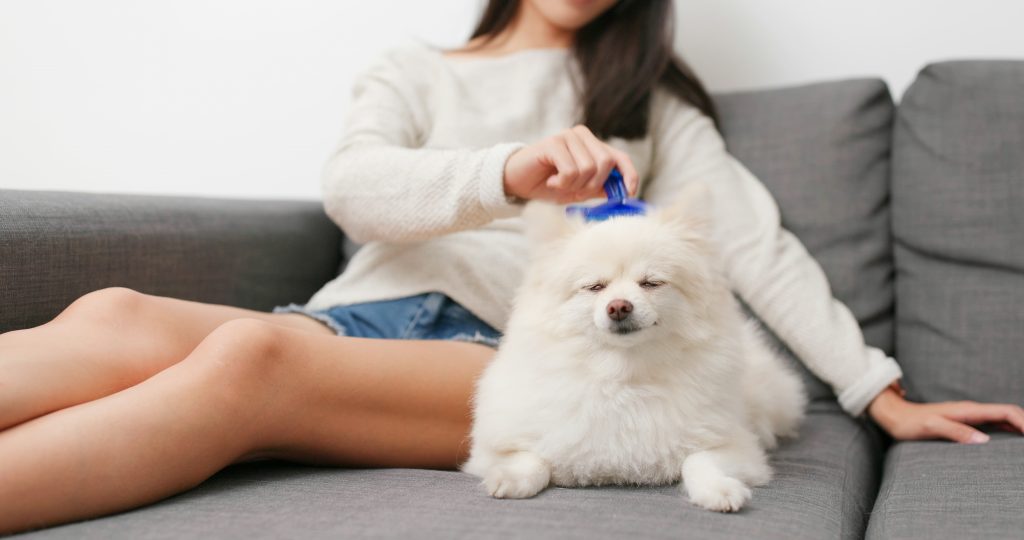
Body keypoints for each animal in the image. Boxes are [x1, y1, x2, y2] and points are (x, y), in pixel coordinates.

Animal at [462, 180, 806, 512]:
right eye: (595, 287)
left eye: (651, 283)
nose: (618, 306)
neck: (624, 376)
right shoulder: (494, 447)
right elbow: (532, 458)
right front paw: (511, 478)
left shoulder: (736, 445)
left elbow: (698, 460)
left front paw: (717, 489)